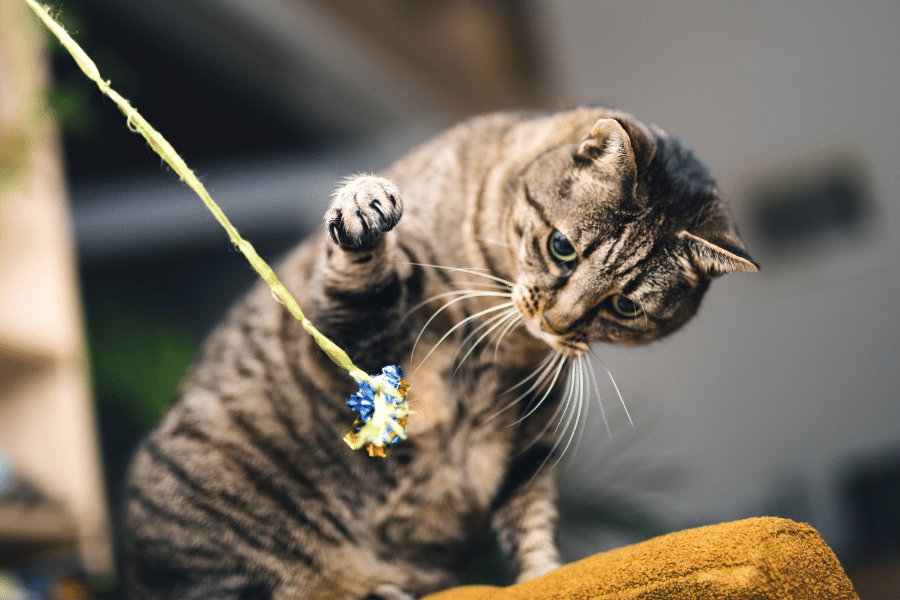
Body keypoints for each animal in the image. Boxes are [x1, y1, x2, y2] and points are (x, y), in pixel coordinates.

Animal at [118, 108, 752, 600]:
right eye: (562, 248)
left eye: (625, 305)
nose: (558, 323)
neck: (508, 338)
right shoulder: (357, 336)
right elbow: (358, 272)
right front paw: (364, 207)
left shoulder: (530, 436)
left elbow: (532, 521)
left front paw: (548, 576)